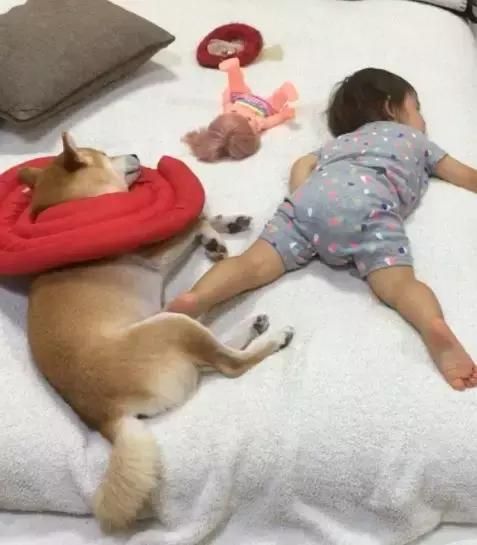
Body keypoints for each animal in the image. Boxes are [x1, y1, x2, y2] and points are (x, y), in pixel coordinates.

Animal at [19, 133, 294, 531]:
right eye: (104, 155)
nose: (135, 153)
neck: (76, 205)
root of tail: (108, 417)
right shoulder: (153, 254)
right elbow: (193, 221)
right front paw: (213, 234)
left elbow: (200, 219)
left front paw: (226, 224)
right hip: (171, 325)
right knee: (229, 364)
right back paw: (271, 338)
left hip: (170, 318)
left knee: (211, 349)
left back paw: (250, 326)